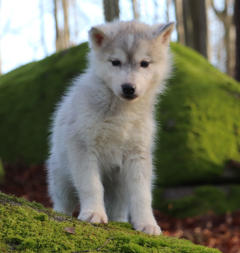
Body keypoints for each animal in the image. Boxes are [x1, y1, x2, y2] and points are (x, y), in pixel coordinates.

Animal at [47, 20, 174, 235]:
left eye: (144, 63)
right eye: (115, 62)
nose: (128, 88)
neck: (121, 112)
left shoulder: (138, 154)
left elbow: (142, 195)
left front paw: (147, 224)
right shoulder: (83, 147)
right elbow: (92, 185)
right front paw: (93, 213)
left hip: (120, 185)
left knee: (119, 209)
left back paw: (121, 222)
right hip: (61, 176)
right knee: (63, 202)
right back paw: (61, 212)